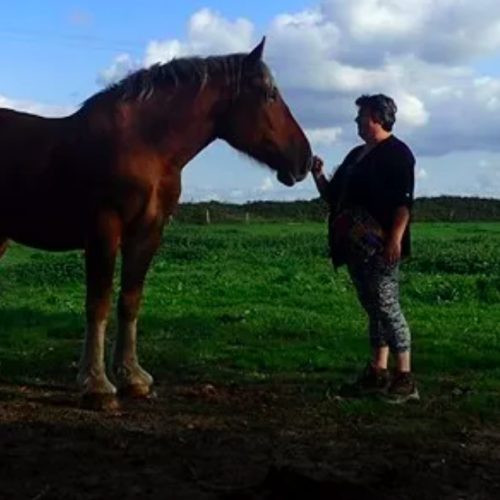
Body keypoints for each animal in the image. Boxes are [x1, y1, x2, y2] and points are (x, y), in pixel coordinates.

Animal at [0, 36, 312, 410]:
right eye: (269, 94)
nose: (306, 159)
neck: (143, 145)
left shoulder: (148, 233)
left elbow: (130, 300)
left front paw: (132, 377)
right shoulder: (104, 230)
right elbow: (98, 302)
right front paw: (96, 385)